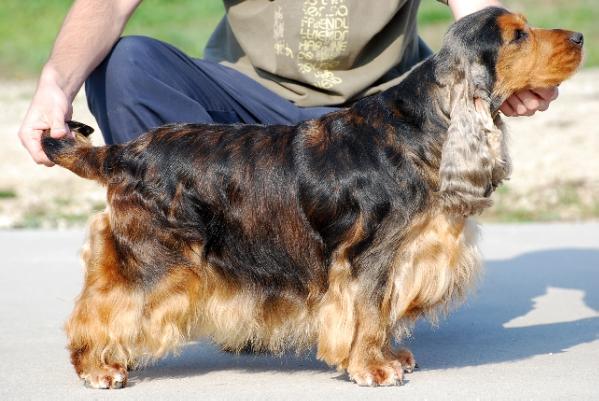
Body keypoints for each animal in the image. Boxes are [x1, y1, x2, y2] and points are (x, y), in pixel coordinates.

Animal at [41, 7, 580, 388]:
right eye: (517, 36)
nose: (578, 38)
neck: (423, 126)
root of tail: (123, 153)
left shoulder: (397, 255)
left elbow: (381, 312)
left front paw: (389, 356)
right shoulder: (367, 255)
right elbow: (368, 310)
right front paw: (371, 368)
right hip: (155, 258)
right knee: (102, 307)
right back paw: (97, 368)